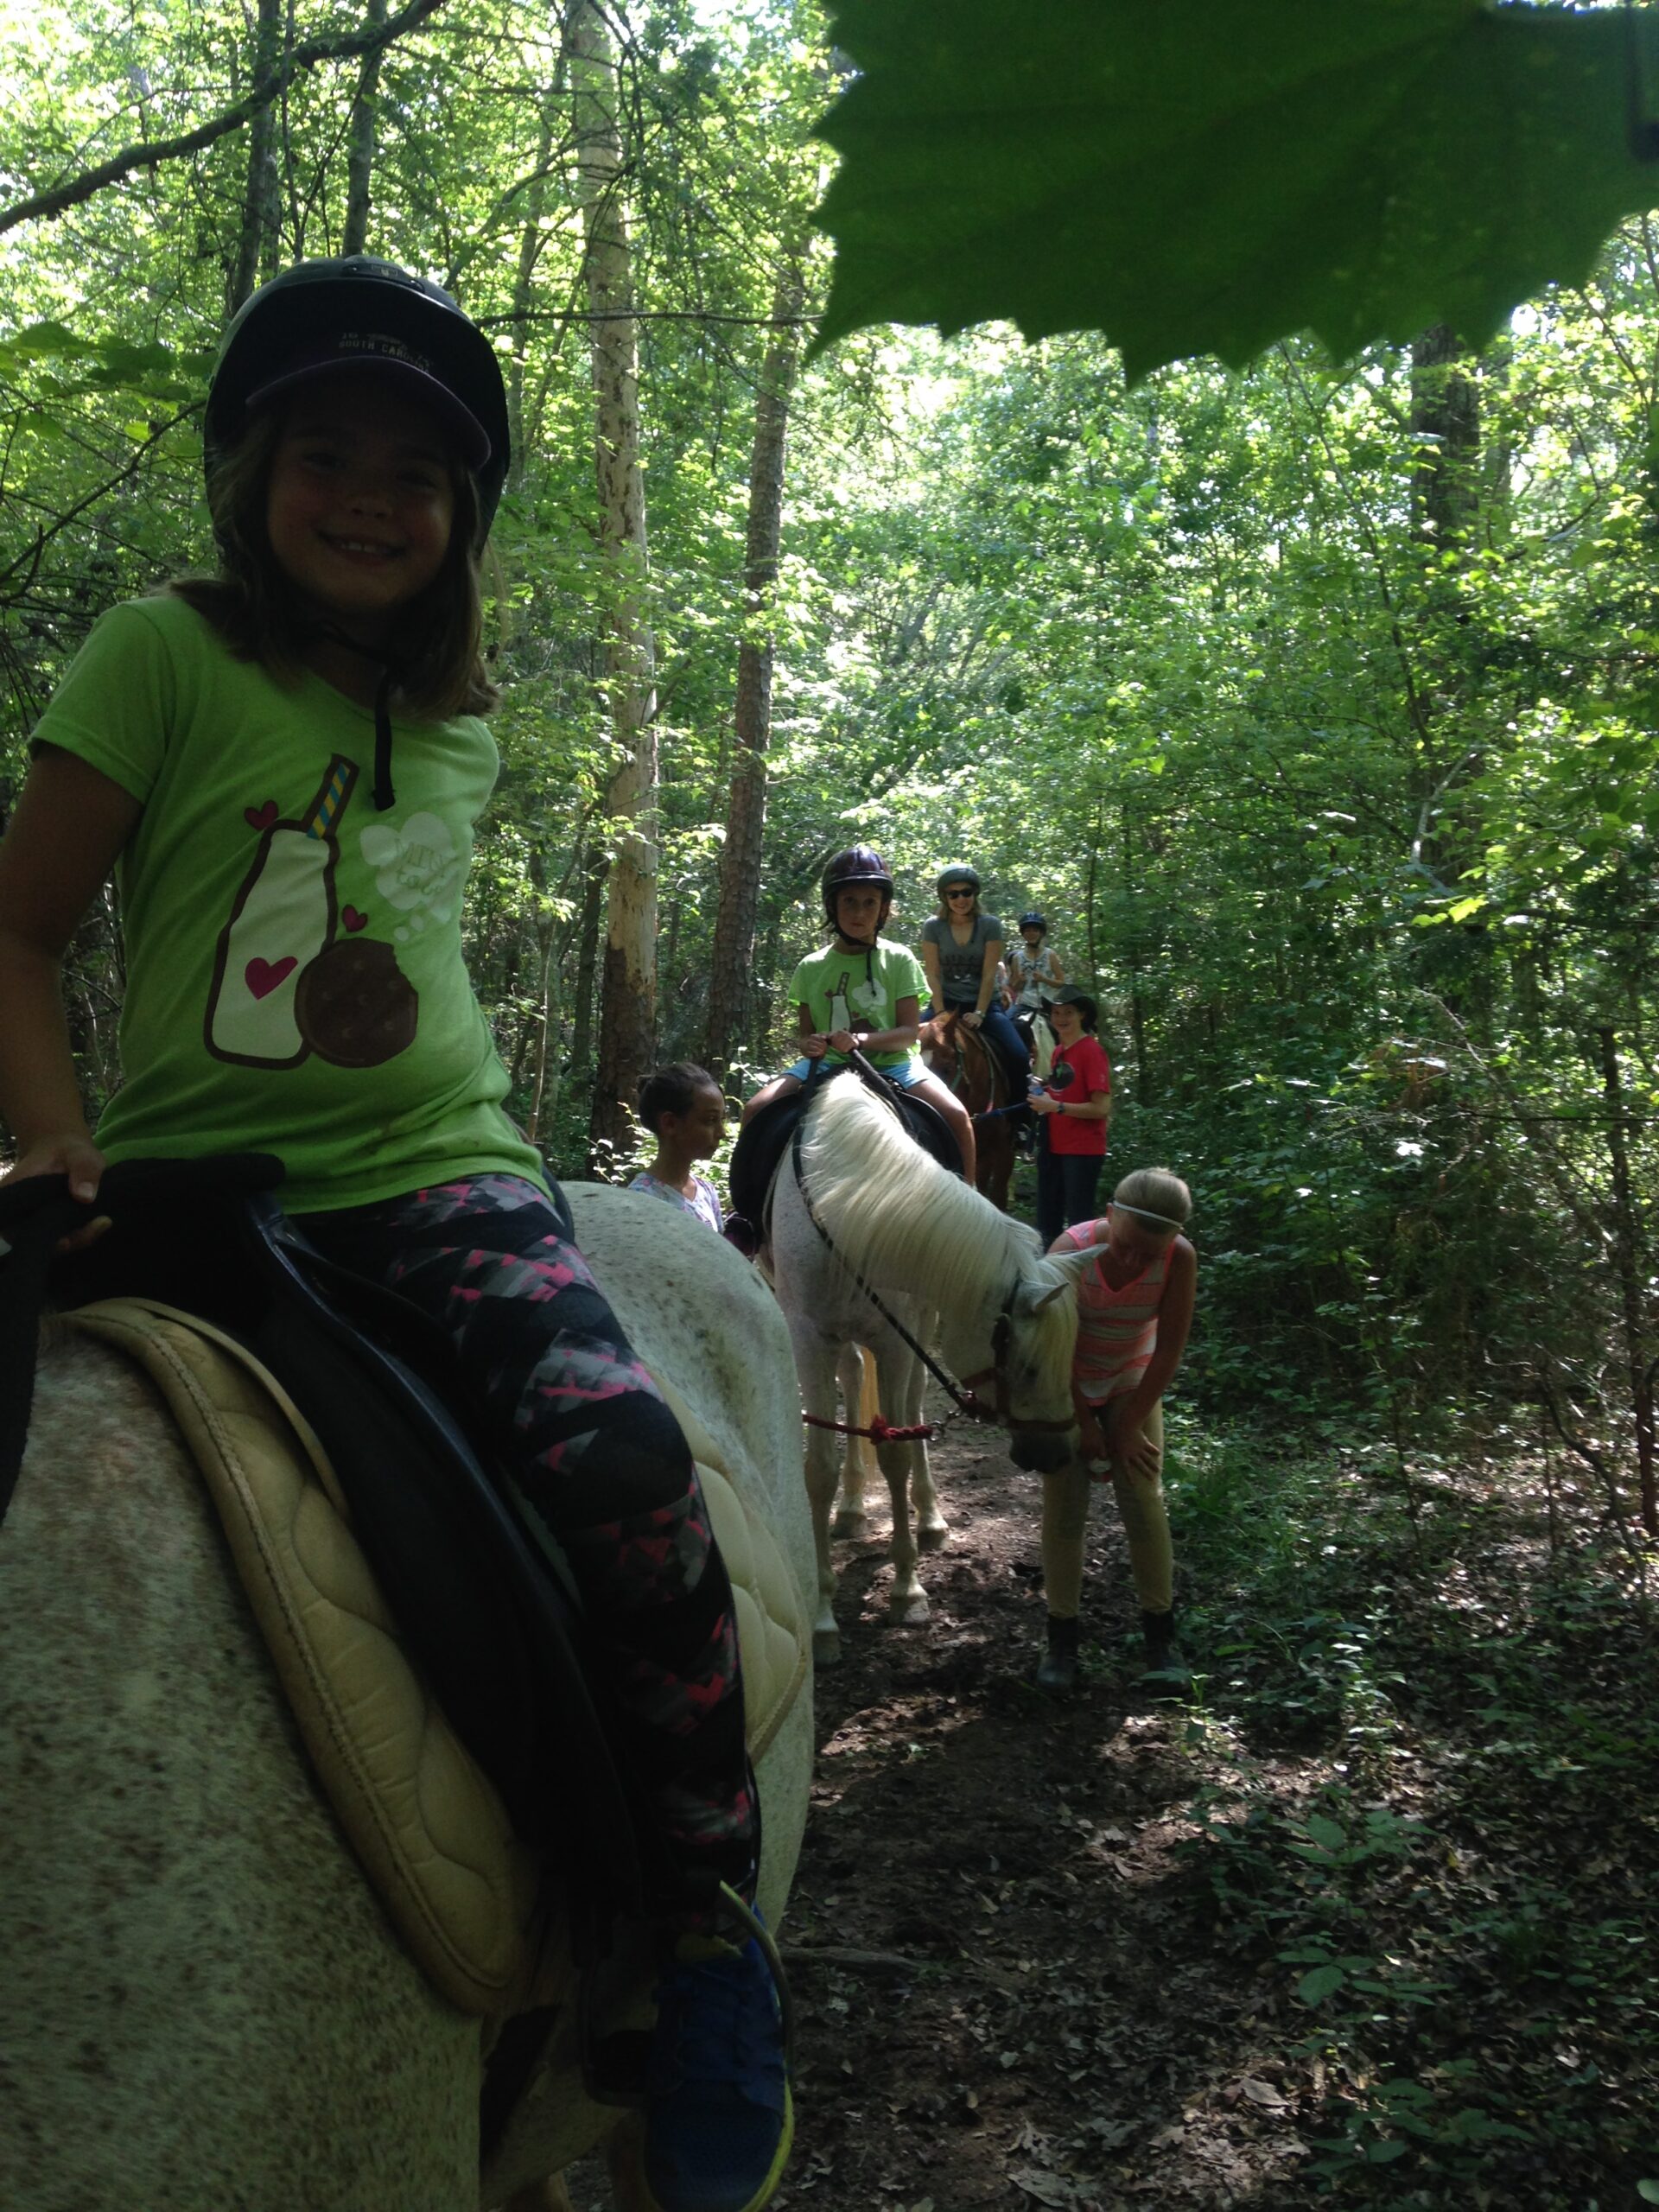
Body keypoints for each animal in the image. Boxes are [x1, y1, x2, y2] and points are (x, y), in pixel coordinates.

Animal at [769, 1071, 1106, 1663]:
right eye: (1030, 1368)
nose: (1061, 1451)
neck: (848, 1203)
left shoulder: (896, 1338)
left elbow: (897, 1452)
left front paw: (907, 1590)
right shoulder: (808, 1335)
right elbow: (819, 1468)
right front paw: (823, 1617)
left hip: (916, 1327)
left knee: (905, 1404)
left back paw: (926, 1519)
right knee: (853, 1377)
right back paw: (852, 1509)